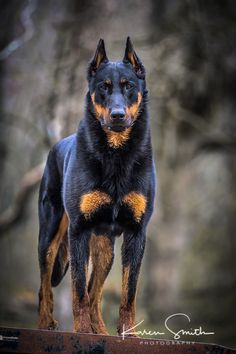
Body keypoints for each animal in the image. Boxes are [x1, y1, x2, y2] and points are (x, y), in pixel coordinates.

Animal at [37, 37, 156, 336]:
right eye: (103, 87)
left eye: (129, 86)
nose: (117, 115)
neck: (115, 154)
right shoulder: (79, 230)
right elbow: (78, 291)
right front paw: (81, 332)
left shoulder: (136, 232)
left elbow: (127, 294)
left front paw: (128, 335)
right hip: (50, 235)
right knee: (46, 285)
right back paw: (46, 324)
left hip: (105, 249)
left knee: (96, 293)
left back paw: (99, 330)